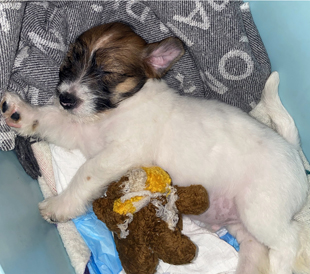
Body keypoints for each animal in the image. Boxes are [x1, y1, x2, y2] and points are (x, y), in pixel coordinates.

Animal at [0, 22, 310, 274]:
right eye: (70, 60)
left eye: (108, 73)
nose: (65, 98)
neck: (115, 110)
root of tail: (293, 149)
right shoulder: (79, 130)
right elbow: (49, 119)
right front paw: (19, 112)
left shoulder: (122, 152)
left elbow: (86, 173)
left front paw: (60, 205)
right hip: (242, 224)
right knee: (256, 249)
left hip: (260, 209)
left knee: (290, 239)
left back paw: (281, 266)